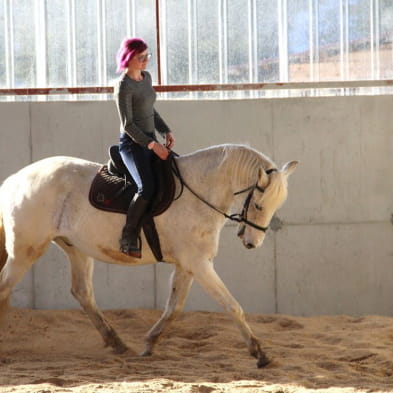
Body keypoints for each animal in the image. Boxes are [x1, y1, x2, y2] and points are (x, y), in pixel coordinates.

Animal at [0, 144, 296, 368]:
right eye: (258, 205)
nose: (252, 243)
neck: (198, 192)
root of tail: (13, 179)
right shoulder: (199, 264)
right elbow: (232, 305)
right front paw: (259, 353)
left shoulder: (188, 265)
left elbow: (174, 307)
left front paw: (150, 343)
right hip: (26, 251)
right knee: (5, 287)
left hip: (76, 249)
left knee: (82, 292)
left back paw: (117, 343)